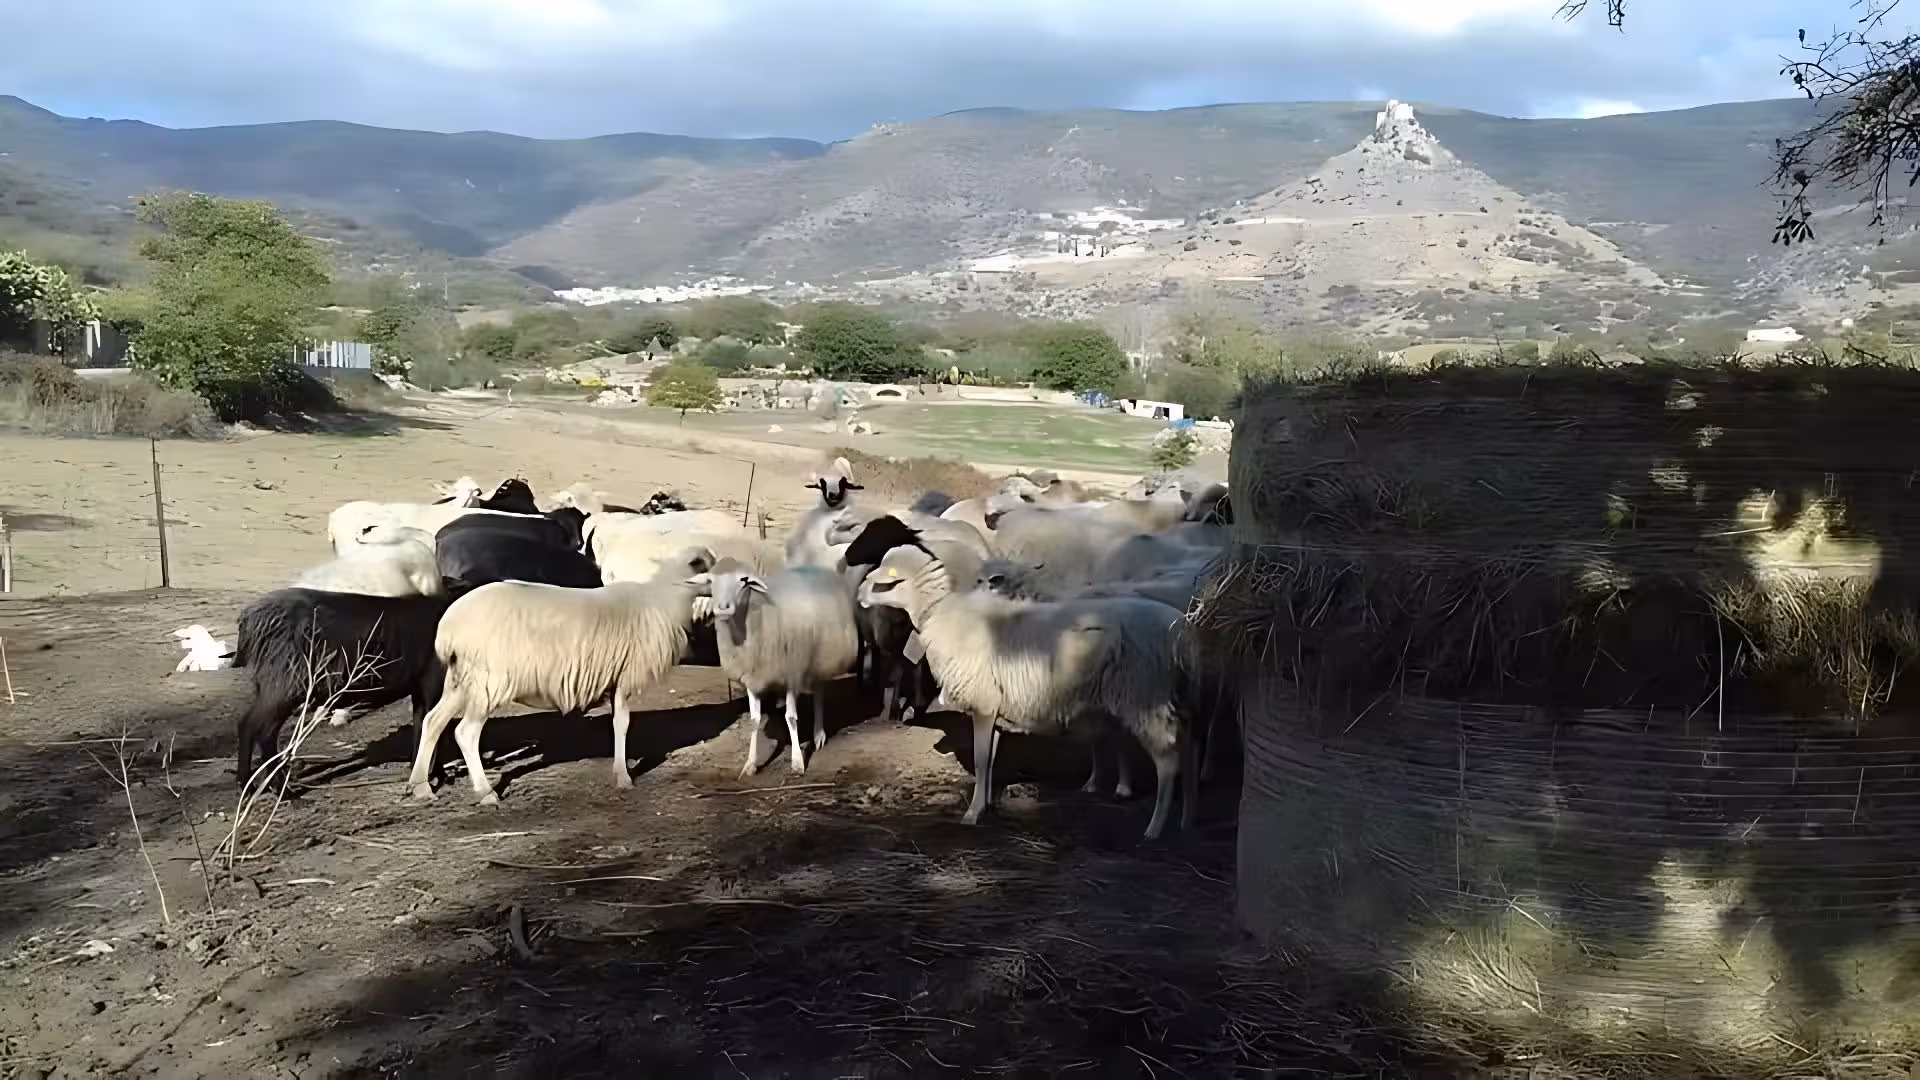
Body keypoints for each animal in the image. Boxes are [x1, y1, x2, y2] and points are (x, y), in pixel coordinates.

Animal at [231, 588, 451, 786]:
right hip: (286, 683)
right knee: (260, 728)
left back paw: (254, 783)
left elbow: (421, 725)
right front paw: (438, 777)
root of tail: (249, 619)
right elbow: (433, 727)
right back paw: (274, 787)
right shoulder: (434, 683)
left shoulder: (420, 688)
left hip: (270, 684)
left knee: (250, 724)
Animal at [405, 547, 717, 803]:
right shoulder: (625, 677)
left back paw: (421, 787)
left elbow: (618, 723)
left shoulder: (615, 678)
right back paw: (486, 792)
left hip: (461, 680)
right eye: (707, 566)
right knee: (465, 732)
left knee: (432, 721)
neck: (663, 600)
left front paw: (620, 773)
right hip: (489, 681)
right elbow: (624, 724)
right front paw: (625, 778)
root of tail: (448, 627)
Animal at [707, 558, 861, 777]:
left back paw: (818, 735)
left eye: (743, 580)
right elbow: (754, 721)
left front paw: (797, 762)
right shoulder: (752, 679)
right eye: (710, 580)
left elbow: (791, 718)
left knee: (819, 692)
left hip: (819, 657)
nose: (722, 608)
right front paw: (750, 764)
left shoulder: (791, 675)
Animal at [858, 545, 1196, 840]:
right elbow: (990, 761)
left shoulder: (983, 704)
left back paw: (1154, 829)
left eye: (886, 581)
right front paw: (987, 804)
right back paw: (1177, 818)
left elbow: (980, 760)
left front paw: (971, 814)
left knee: (1168, 762)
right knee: (1181, 750)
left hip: (1145, 697)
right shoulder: (993, 710)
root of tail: (1179, 629)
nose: (859, 596)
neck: (944, 618)